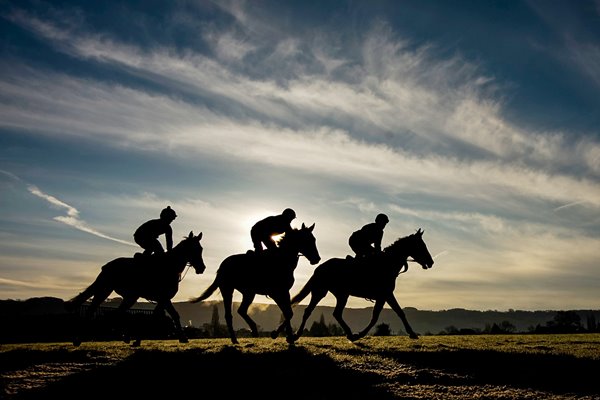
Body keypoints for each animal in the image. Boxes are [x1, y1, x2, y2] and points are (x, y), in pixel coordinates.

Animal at [65, 231, 206, 346]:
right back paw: (78, 339)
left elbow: (163, 315)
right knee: (93, 310)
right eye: (194, 249)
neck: (169, 266)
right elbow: (169, 315)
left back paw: (124, 337)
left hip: (129, 296)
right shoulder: (164, 298)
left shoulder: (163, 299)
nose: (202, 268)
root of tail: (106, 267)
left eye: (201, 249)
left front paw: (182, 337)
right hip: (105, 289)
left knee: (117, 312)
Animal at [192, 223, 324, 346]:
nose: (317, 259)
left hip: (248, 292)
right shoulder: (276, 293)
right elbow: (288, 313)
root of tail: (222, 265)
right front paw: (278, 334)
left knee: (241, 310)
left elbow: (288, 313)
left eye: (314, 239)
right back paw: (235, 339)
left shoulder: (285, 292)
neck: (283, 260)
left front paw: (289, 337)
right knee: (229, 315)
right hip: (228, 289)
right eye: (307, 240)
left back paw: (254, 330)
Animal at [278, 228, 434, 340]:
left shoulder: (384, 296)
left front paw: (412, 333)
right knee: (317, 312)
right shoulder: (385, 295)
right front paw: (361, 334)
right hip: (326, 292)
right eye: (421, 245)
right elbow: (383, 315)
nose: (431, 262)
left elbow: (393, 313)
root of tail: (319, 268)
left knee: (326, 313)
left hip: (335, 293)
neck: (387, 264)